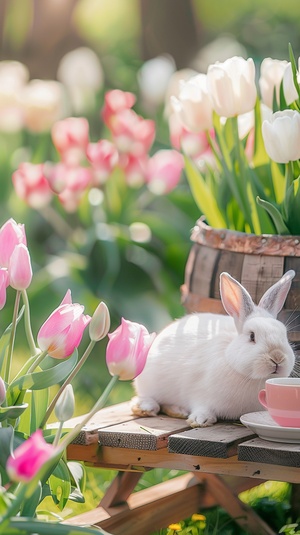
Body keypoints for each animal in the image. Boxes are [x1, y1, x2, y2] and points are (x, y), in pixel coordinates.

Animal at [131, 270, 296, 430]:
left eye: (284, 335)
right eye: (252, 336)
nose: (277, 358)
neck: (250, 378)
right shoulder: (199, 393)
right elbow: (201, 407)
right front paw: (200, 420)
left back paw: (179, 411)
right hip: (148, 381)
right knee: (147, 397)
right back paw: (146, 408)